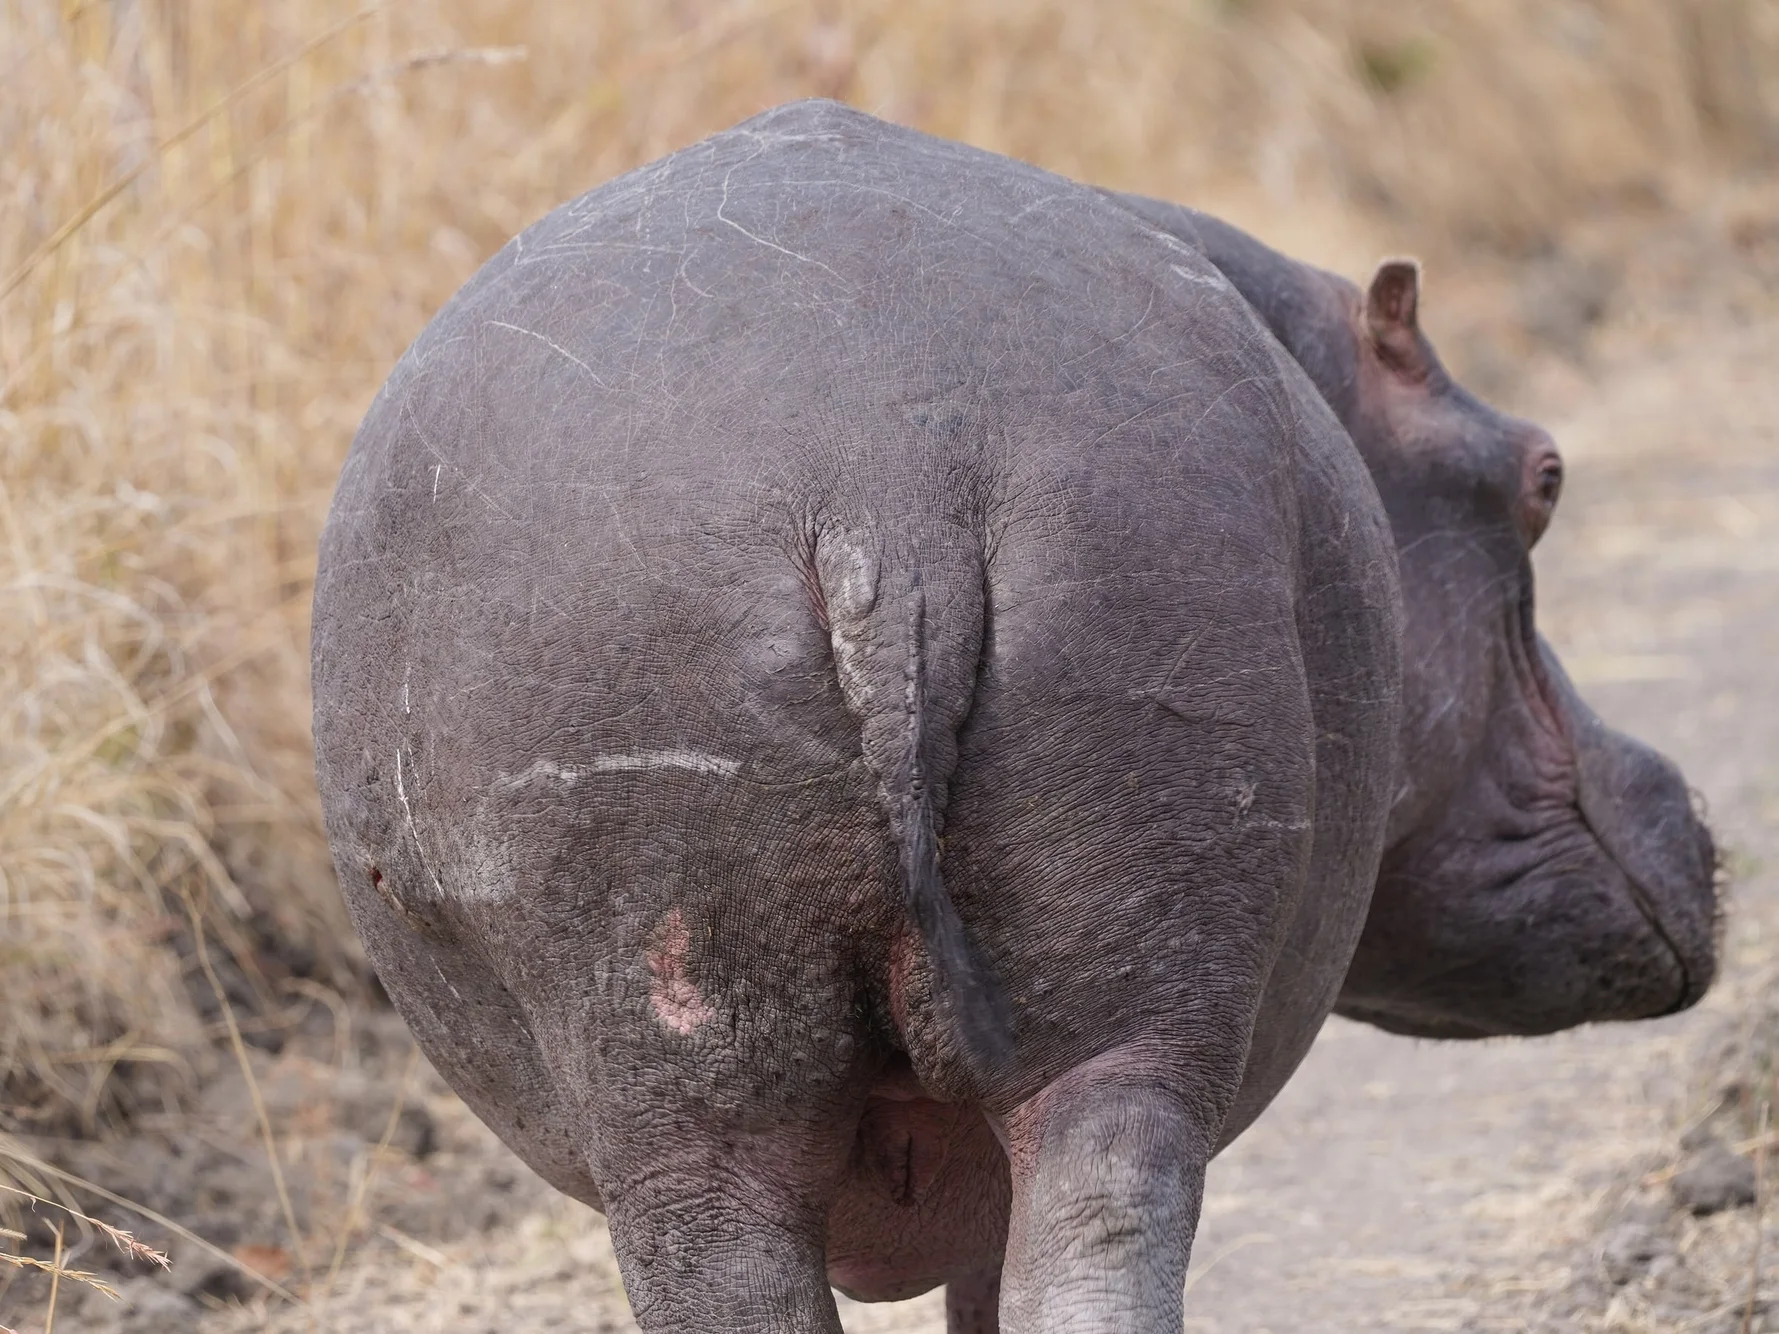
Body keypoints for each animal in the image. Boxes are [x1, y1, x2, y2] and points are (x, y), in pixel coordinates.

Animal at [311, 100, 1718, 1332]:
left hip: (687, 1080)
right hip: (1103, 1002)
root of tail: (883, 482)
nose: (1687, 800)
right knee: (1095, 1244)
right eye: (1546, 475)